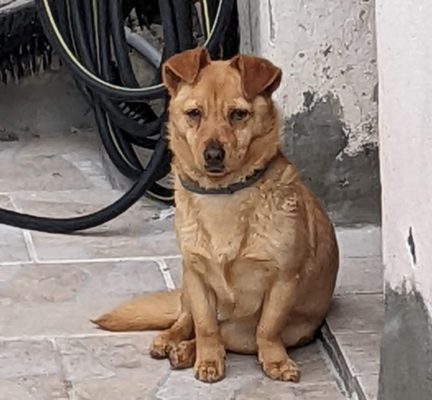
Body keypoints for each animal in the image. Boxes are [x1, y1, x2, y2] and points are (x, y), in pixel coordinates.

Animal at [93, 47, 338, 384]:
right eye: (194, 113)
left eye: (238, 114)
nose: (212, 155)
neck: (223, 196)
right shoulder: (196, 275)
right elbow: (206, 326)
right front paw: (209, 360)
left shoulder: (283, 281)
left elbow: (267, 329)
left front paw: (276, 361)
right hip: (186, 288)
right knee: (187, 321)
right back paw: (171, 342)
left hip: (256, 330)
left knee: (229, 333)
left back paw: (185, 351)